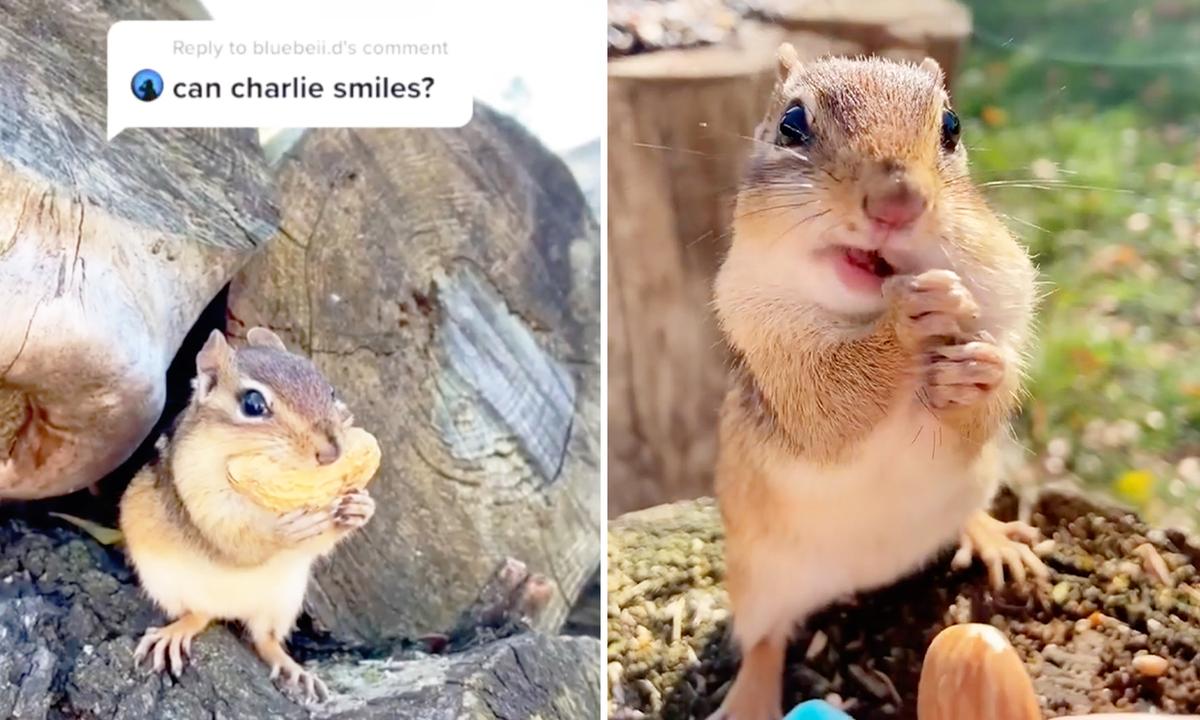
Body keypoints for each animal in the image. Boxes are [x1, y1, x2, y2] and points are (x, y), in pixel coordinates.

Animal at [119, 326, 374, 703]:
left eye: (330, 390)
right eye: (253, 404)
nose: (331, 453)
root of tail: (232, 608)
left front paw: (360, 507)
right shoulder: (201, 493)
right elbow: (233, 535)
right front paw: (284, 530)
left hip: (282, 601)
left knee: (264, 639)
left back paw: (294, 669)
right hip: (169, 585)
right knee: (200, 615)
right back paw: (176, 632)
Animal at [709, 47, 1050, 720]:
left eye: (952, 127)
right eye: (791, 123)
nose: (898, 202)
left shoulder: (1006, 294)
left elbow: (991, 391)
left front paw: (979, 371)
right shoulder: (772, 350)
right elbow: (833, 404)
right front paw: (907, 321)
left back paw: (994, 538)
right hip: (759, 579)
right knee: (763, 639)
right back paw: (753, 695)